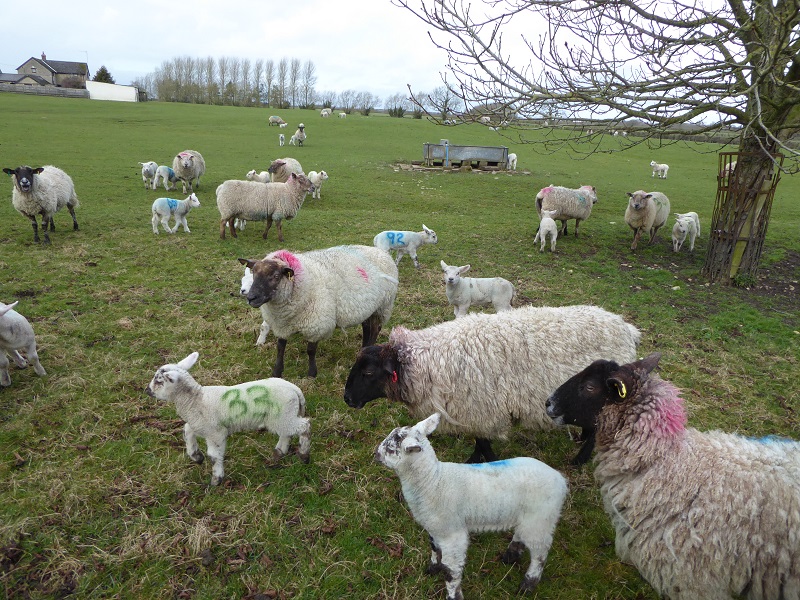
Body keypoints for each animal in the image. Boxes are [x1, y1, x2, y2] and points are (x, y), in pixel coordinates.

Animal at [145, 351, 311, 486]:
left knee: (304, 426)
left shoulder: (216, 433)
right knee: (287, 432)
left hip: (283, 416)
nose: (147, 390)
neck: (195, 399)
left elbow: (214, 456)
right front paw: (196, 456)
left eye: (159, 381)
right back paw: (279, 452)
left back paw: (304, 455)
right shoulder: (199, 424)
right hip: (283, 416)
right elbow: (187, 430)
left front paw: (216, 479)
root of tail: (295, 389)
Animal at [239, 245, 399, 378]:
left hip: (383, 306)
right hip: (369, 308)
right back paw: (363, 350)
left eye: (276, 276)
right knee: (366, 327)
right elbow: (280, 347)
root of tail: (382, 252)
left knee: (375, 329)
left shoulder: (317, 324)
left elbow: (310, 350)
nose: (251, 298)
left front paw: (312, 373)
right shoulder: (282, 324)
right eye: (254, 274)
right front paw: (277, 372)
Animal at [343, 304, 641, 463]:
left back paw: (580, 459)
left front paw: (490, 464)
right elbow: (479, 441)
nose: (347, 398)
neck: (427, 363)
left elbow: (484, 444)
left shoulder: (481, 409)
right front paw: (475, 460)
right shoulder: (475, 413)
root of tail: (627, 329)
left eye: (368, 372)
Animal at [376, 413, 568, 599]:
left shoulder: (452, 534)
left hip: (542, 518)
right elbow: (434, 549)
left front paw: (453, 594)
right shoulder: (435, 527)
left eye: (391, 449)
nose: (376, 454)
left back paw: (528, 584)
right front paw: (432, 569)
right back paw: (510, 556)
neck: (433, 481)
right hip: (530, 518)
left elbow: (451, 571)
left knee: (540, 553)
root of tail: (560, 480)